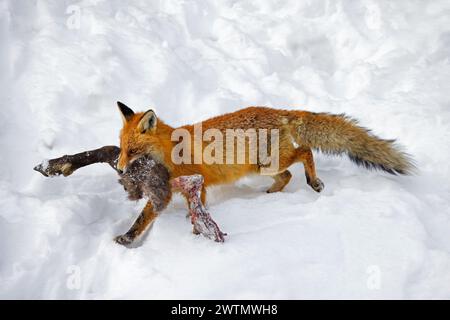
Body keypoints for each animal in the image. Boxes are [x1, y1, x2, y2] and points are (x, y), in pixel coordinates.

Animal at [116, 101, 414, 241]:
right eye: (121, 148)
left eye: (132, 150)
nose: (118, 169)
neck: (170, 150)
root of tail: (279, 111)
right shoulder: (174, 190)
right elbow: (153, 216)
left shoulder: (190, 185)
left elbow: (181, 214)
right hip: (265, 168)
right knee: (288, 175)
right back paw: (270, 195)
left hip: (270, 162)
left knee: (305, 151)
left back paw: (314, 181)